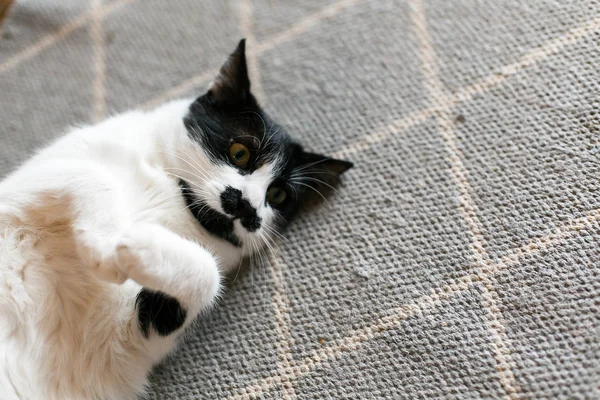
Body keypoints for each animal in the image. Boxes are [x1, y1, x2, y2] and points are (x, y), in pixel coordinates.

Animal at [0, 38, 352, 400]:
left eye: (278, 196)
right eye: (240, 152)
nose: (247, 206)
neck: (177, 202)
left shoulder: (124, 343)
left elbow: (206, 274)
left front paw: (137, 245)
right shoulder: (27, 186)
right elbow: (93, 175)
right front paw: (107, 246)